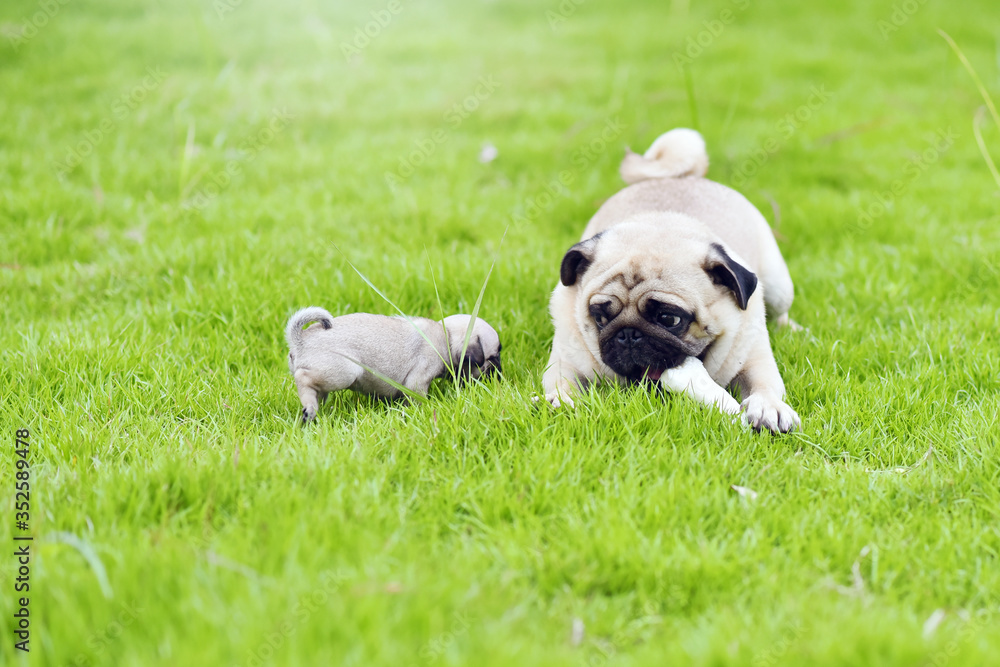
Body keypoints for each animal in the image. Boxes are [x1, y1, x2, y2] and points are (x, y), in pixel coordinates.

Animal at [290, 308, 500, 422]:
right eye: (494, 357)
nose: (500, 372)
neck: (445, 335)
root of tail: (299, 340)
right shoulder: (419, 380)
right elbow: (417, 398)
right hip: (346, 372)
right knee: (303, 378)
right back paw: (309, 408)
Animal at [544, 128, 800, 436]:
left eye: (669, 319)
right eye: (600, 317)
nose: (628, 334)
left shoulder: (754, 358)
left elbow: (764, 384)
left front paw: (768, 408)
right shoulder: (565, 360)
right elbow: (563, 382)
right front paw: (562, 402)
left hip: (778, 287)